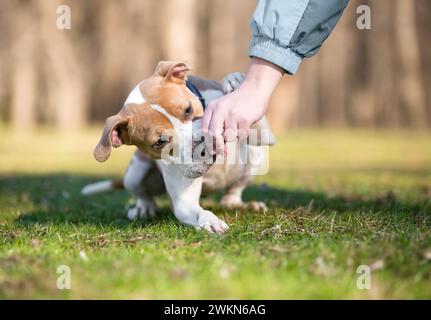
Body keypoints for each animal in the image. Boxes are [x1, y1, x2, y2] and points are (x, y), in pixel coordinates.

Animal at [81, 61, 276, 234]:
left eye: (188, 109)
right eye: (159, 142)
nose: (202, 147)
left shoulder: (263, 134)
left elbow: (252, 120)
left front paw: (235, 82)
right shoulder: (183, 202)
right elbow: (197, 211)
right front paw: (210, 221)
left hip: (255, 161)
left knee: (232, 194)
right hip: (134, 173)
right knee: (142, 194)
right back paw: (143, 208)